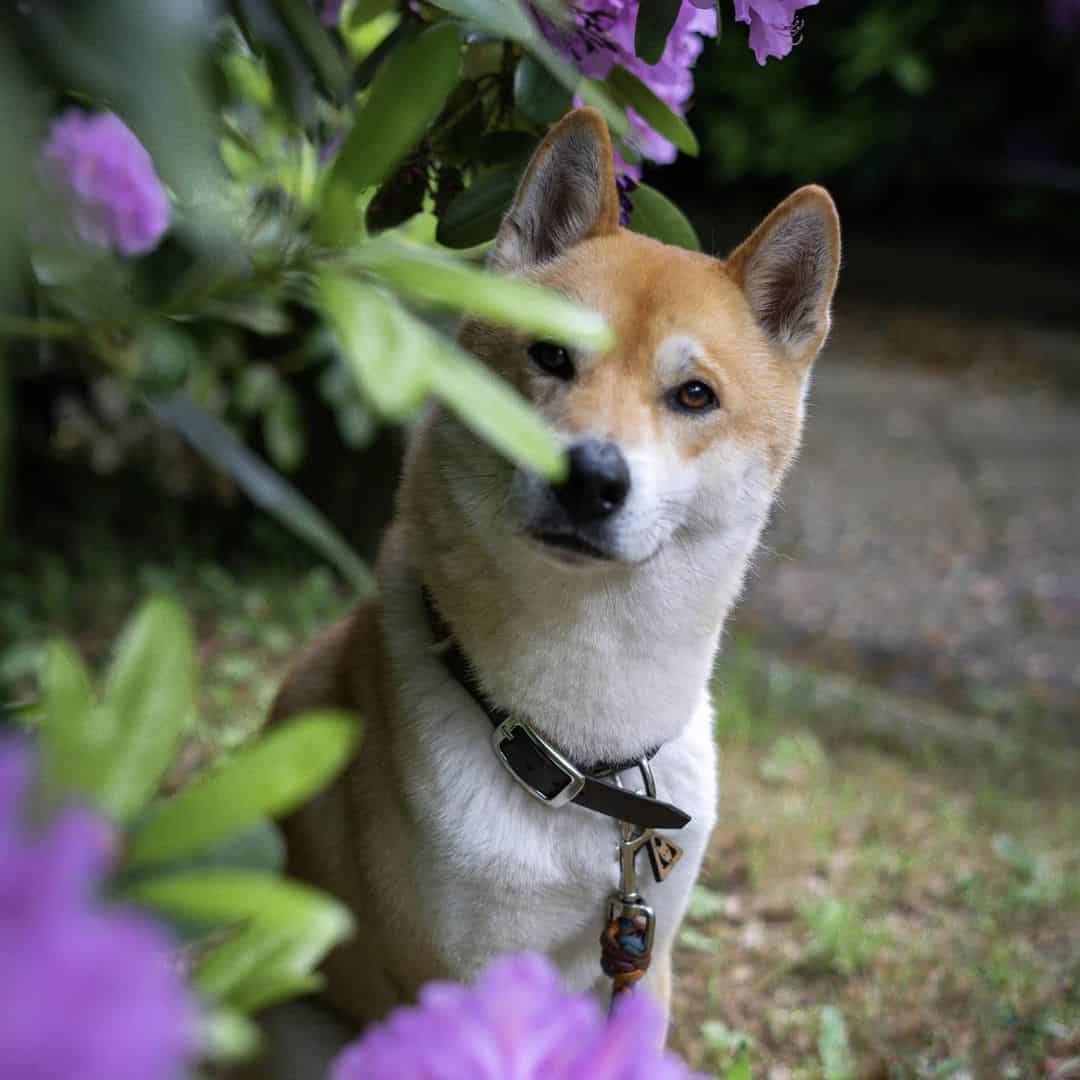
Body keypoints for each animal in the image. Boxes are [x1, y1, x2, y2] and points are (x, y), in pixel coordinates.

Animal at [263, 105, 842, 1067]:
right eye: (549, 355)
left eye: (694, 395)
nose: (589, 477)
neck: (582, 753)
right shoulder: (459, 979)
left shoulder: (648, 957)